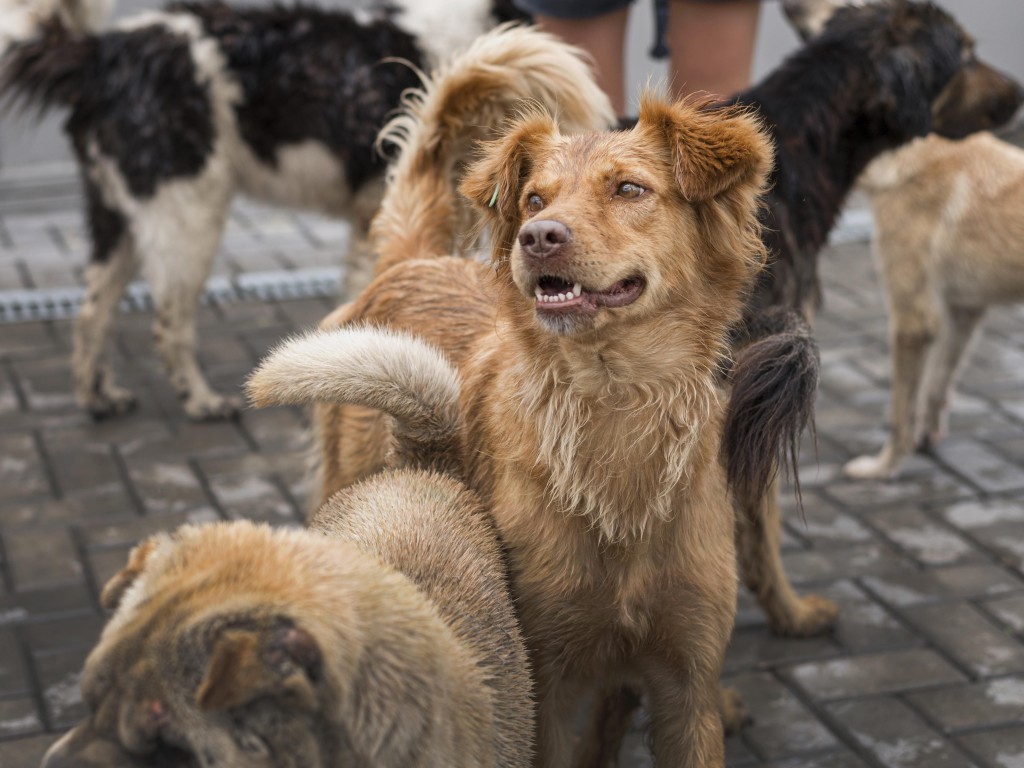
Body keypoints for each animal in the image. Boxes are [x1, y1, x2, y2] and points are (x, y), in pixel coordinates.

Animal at [0, 0, 524, 421]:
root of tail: (101, 54)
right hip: (188, 216)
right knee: (168, 323)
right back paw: (201, 401)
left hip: (119, 218)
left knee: (93, 312)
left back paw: (98, 397)